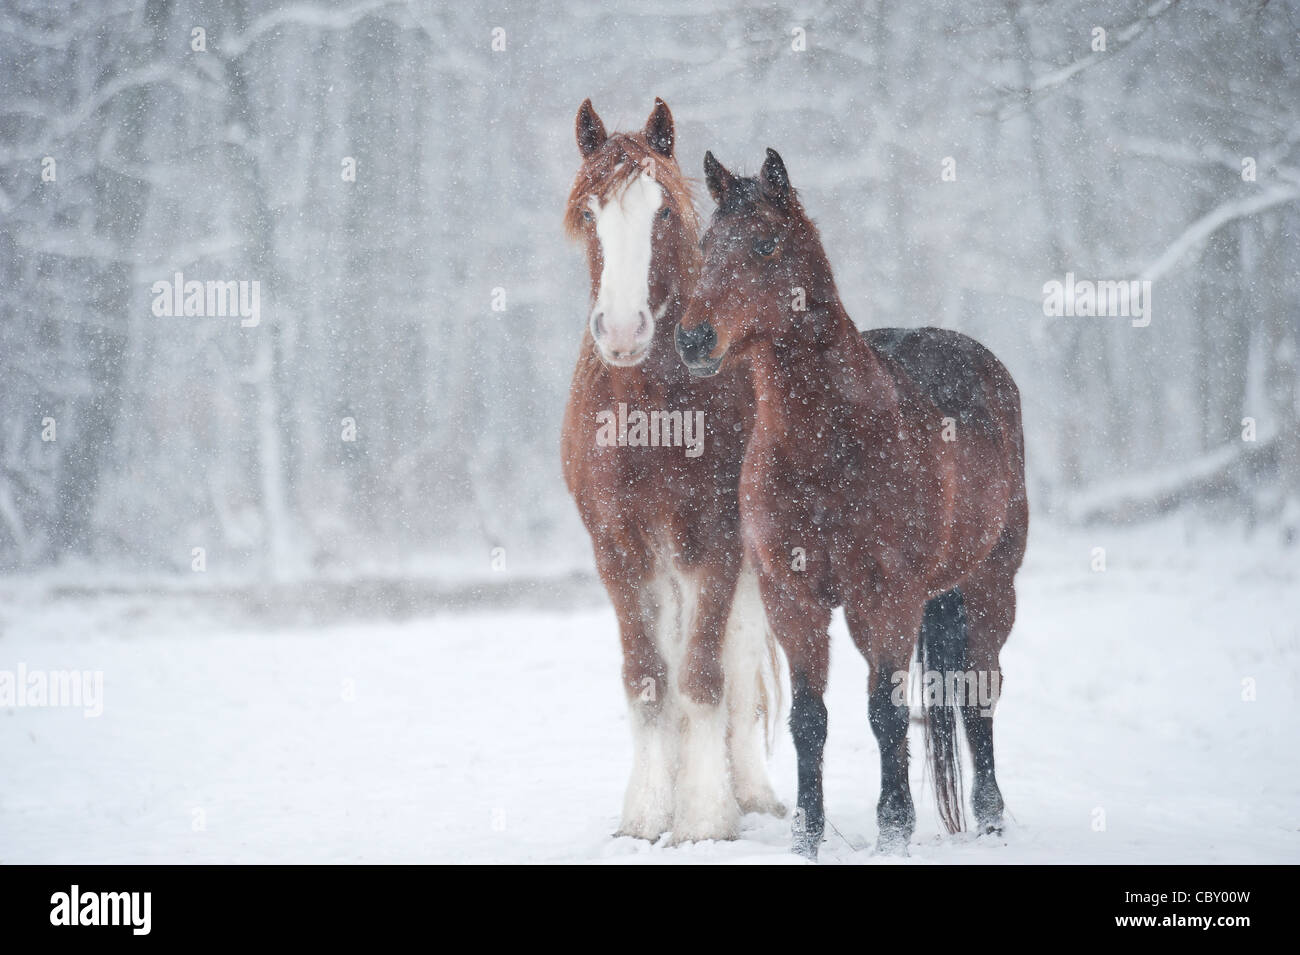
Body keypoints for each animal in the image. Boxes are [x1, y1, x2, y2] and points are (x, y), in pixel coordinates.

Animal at [559, 100, 780, 841]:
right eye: (590, 212)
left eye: (661, 212)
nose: (624, 330)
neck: (650, 413)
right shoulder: (616, 548)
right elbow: (649, 676)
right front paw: (649, 810)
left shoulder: (714, 543)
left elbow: (705, 675)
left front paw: (706, 814)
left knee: (738, 665)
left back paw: (752, 792)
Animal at [676, 147, 1029, 857]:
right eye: (704, 246)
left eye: (765, 243)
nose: (693, 339)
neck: (830, 443)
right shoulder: (793, 599)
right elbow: (809, 719)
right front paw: (806, 836)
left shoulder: (885, 600)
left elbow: (885, 713)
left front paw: (894, 830)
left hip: (991, 586)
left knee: (979, 696)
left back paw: (991, 818)